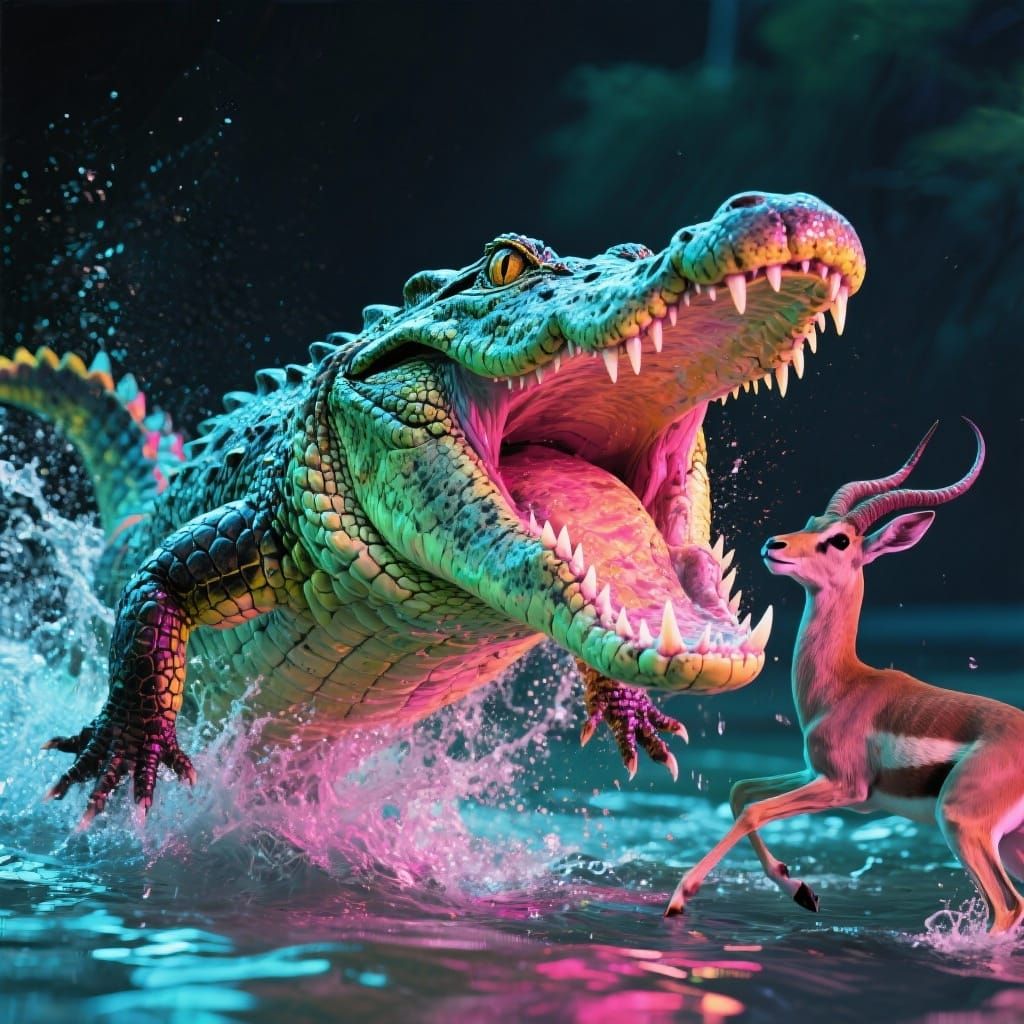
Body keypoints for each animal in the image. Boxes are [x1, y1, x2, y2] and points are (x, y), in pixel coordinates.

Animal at [665, 418, 1024, 934]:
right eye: (813, 519)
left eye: (840, 540)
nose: (773, 546)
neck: (845, 687)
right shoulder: (818, 775)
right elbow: (741, 791)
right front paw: (800, 890)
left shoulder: (843, 787)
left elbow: (753, 810)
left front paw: (680, 896)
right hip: (1012, 842)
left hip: (962, 825)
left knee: (1007, 906)